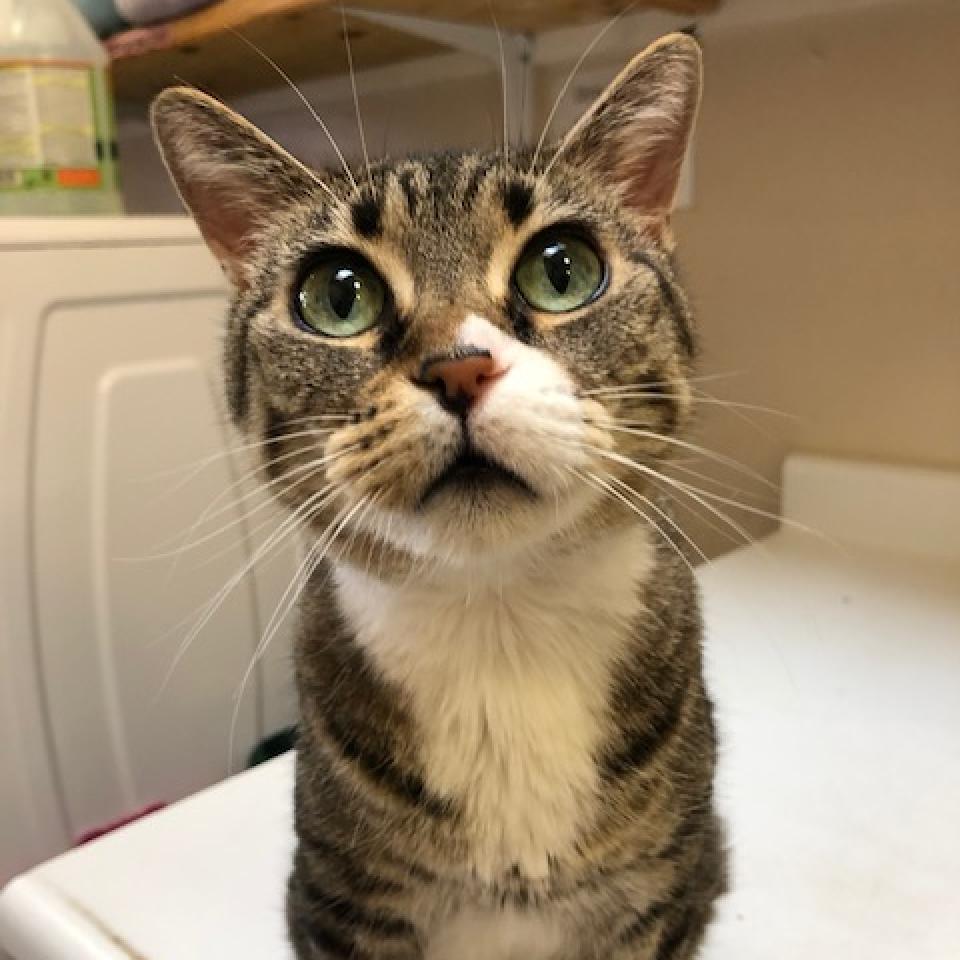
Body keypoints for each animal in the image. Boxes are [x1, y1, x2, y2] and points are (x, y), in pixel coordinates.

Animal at [152, 31, 720, 960]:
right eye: (337, 294)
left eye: (563, 271)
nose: (461, 367)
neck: (501, 629)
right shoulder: (336, 902)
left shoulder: (665, 893)